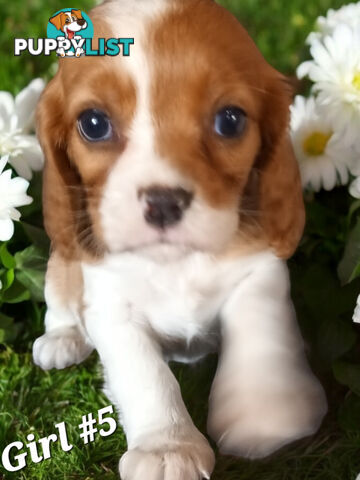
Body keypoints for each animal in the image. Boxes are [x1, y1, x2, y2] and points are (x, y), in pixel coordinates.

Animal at [32, 0, 328, 476]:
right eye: (93, 124)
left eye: (230, 120)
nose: (163, 203)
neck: (174, 262)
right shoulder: (111, 308)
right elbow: (146, 374)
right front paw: (167, 447)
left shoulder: (259, 273)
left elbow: (259, 336)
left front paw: (265, 416)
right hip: (63, 259)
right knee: (59, 296)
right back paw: (62, 340)